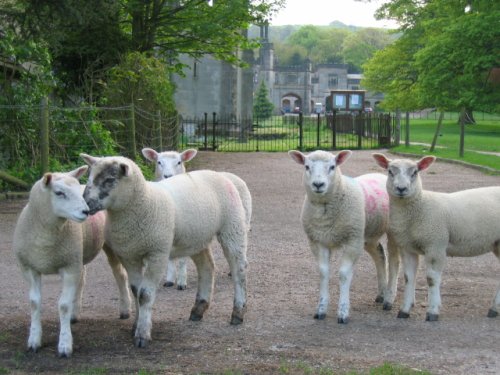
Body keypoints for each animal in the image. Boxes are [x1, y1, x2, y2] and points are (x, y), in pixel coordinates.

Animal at [12, 167, 131, 358]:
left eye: (79, 192)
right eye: (59, 193)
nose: (86, 211)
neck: (45, 241)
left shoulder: (68, 268)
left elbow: (63, 305)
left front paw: (65, 344)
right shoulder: (29, 269)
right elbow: (34, 303)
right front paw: (34, 340)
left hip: (106, 247)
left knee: (120, 274)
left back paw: (125, 309)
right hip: (77, 255)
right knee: (82, 279)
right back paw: (75, 315)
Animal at [141, 148, 252, 290]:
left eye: (179, 162)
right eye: (159, 162)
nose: (168, 175)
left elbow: (182, 259)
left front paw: (182, 282)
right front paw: (170, 280)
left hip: (239, 220)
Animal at [290, 150, 398, 324]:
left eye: (332, 167)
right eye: (306, 166)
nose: (318, 185)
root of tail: (381, 175)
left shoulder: (352, 242)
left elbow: (344, 274)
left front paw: (343, 312)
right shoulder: (317, 241)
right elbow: (323, 273)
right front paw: (321, 310)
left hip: (389, 231)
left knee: (395, 261)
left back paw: (389, 298)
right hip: (367, 234)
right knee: (380, 254)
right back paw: (381, 294)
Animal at [374, 154, 500, 322]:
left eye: (415, 172)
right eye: (390, 171)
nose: (401, 189)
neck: (420, 207)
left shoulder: (436, 245)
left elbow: (431, 279)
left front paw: (432, 311)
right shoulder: (407, 247)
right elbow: (408, 277)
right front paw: (404, 310)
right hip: (497, 244)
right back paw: (495, 308)